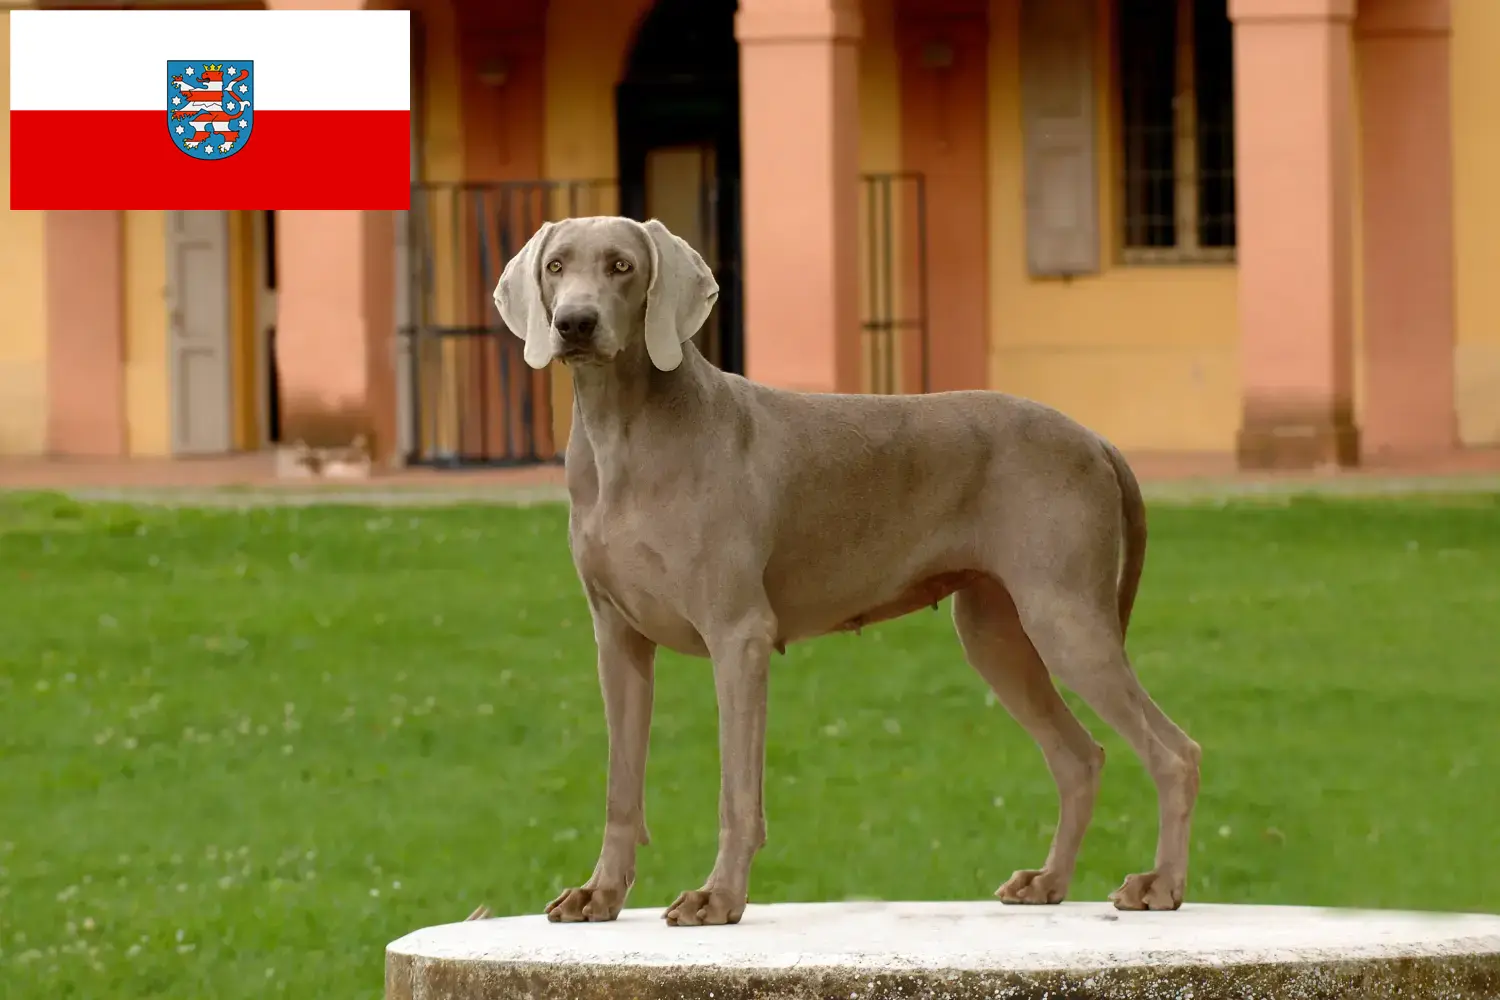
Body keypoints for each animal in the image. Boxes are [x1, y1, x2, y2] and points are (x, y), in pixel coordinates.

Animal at [480, 215, 1206, 929]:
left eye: (622, 266)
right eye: (556, 266)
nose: (575, 323)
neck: (624, 435)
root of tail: (1095, 438)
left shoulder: (737, 635)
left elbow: (737, 792)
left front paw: (719, 898)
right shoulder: (618, 640)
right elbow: (620, 788)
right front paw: (600, 893)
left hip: (1064, 615)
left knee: (1174, 752)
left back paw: (1160, 885)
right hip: (996, 632)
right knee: (1080, 758)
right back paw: (1049, 882)